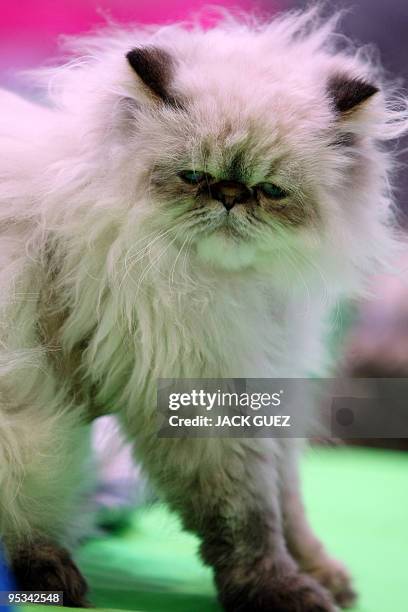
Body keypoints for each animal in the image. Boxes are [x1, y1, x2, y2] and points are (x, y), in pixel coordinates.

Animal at [0, 5, 408, 612]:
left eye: (272, 190)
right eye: (193, 177)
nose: (231, 197)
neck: (236, 286)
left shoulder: (262, 378)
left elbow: (288, 506)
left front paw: (324, 576)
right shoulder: (200, 390)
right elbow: (247, 519)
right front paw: (284, 591)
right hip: (37, 431)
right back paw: (54, 575)